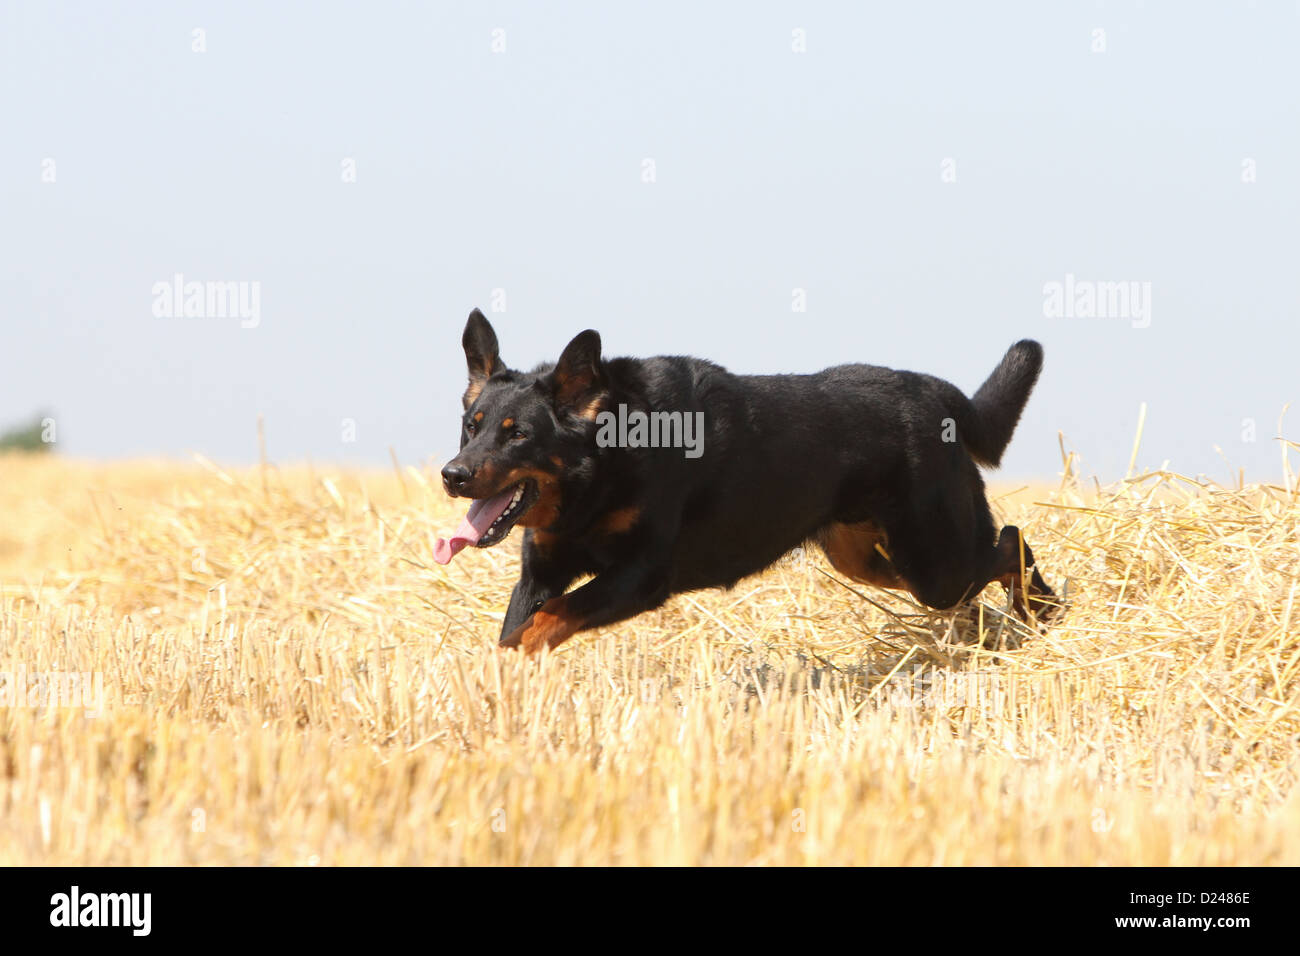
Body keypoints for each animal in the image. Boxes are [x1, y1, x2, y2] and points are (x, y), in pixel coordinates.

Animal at [436, 310, 1055, 655]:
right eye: (472, 426)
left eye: (518, 435)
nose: (453, 475)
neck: (603, 464)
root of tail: (937, 393)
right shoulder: (541, 571)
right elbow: (517, 628)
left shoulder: (641, 575)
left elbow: (548, 620)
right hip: (871, 559)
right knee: (984, 571)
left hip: (934, 562)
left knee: (1011, 542)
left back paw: (1042, 611)